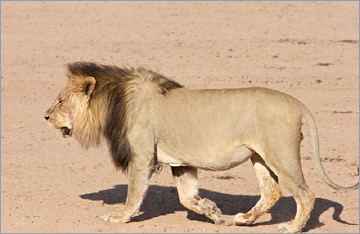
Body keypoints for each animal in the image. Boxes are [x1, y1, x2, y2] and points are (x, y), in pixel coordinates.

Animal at [44, 61, 358, 232]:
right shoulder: (181, 162)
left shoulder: (142, 156)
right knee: (272, 192)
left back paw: (292, 228)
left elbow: (134, 195)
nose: (45, 116)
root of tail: (297, 102)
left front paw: (119, 217)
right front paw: (212, 211)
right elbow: (186, 197)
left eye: (60, 100)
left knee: (305, 194)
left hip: (281, 155)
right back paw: (244, 219)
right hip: (259, 156)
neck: (115, 102)